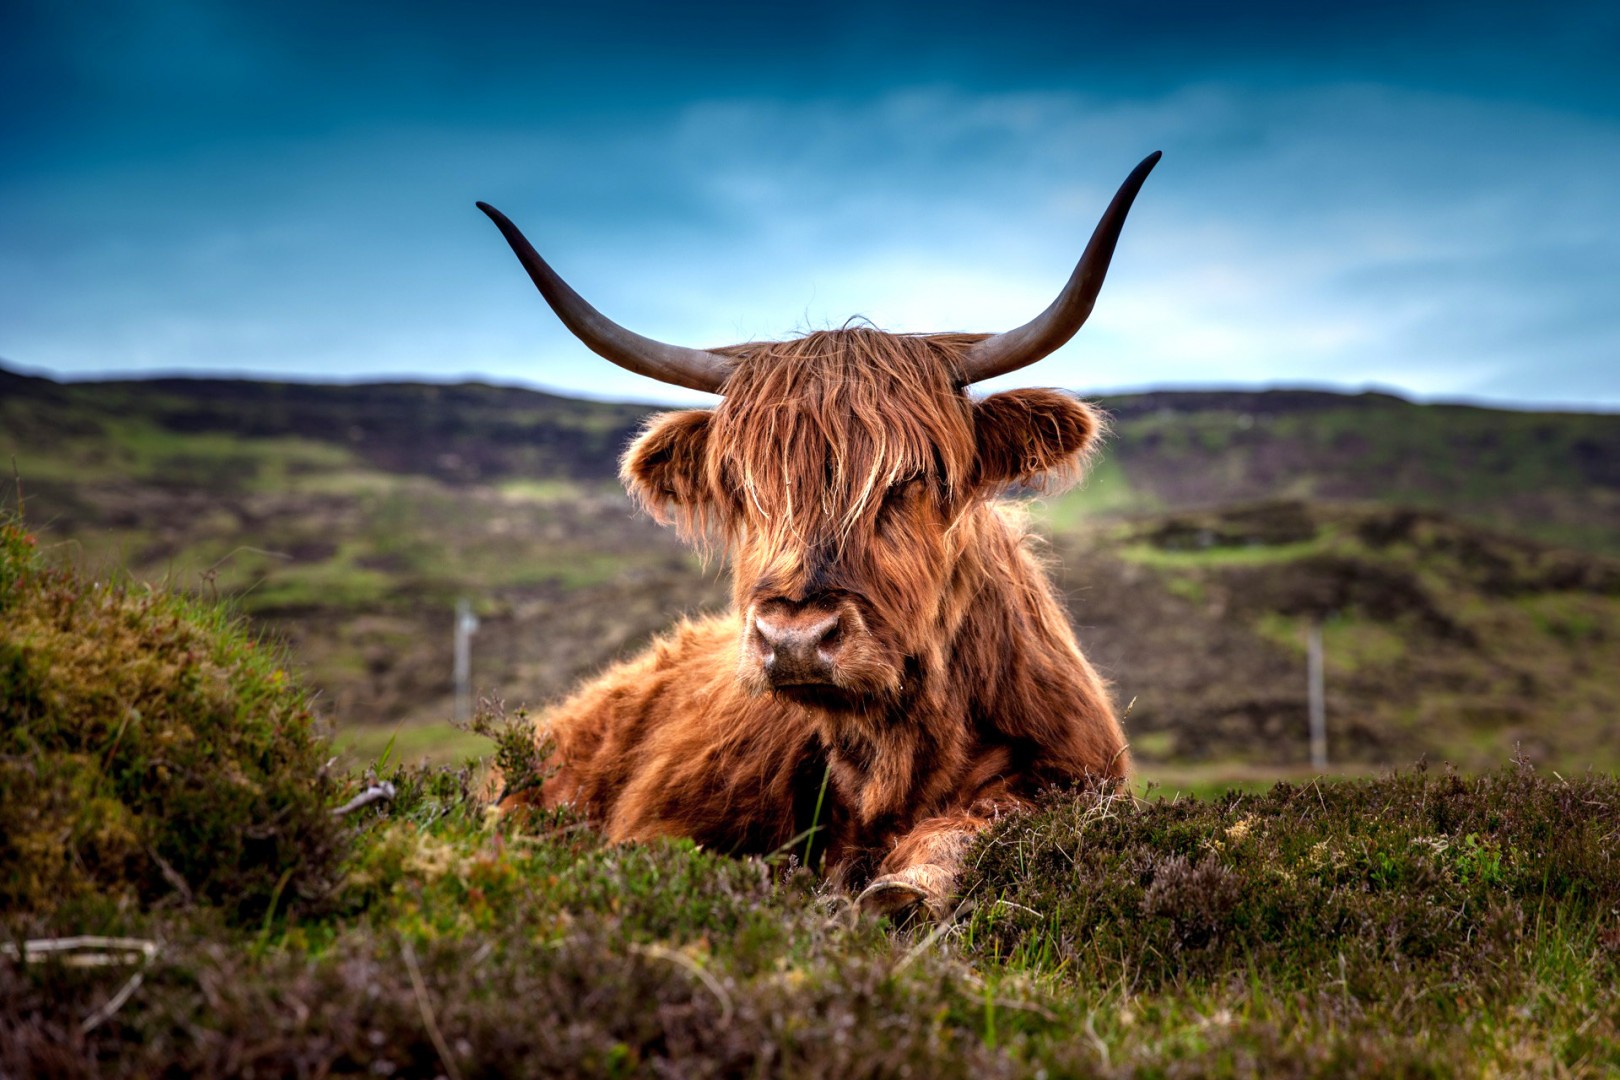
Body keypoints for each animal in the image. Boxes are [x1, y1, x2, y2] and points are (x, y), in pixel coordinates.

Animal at [473, 152, 1159, 919]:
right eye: (742, 486)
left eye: (913, 477)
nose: (795, 638)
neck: (893, 755)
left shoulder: (1074, 777)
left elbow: (983, 823)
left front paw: (905, 887)